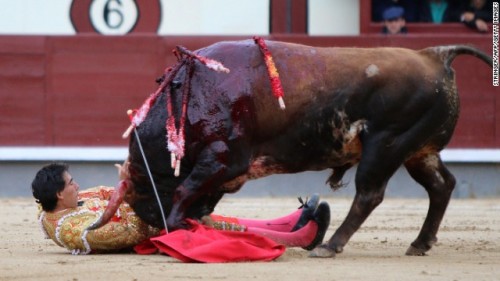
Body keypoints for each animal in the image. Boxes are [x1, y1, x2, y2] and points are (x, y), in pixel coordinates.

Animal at [91, 39, 492, 256]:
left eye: (143, 189)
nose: (151, 220)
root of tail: (434, 55)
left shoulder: (222, 159)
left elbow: (185, 189)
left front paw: (178, 226)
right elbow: (194, 193)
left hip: (386, 145)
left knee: (370, 194)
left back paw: (331, 245)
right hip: (418, 150)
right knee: (441, 186)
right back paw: (420, 242)